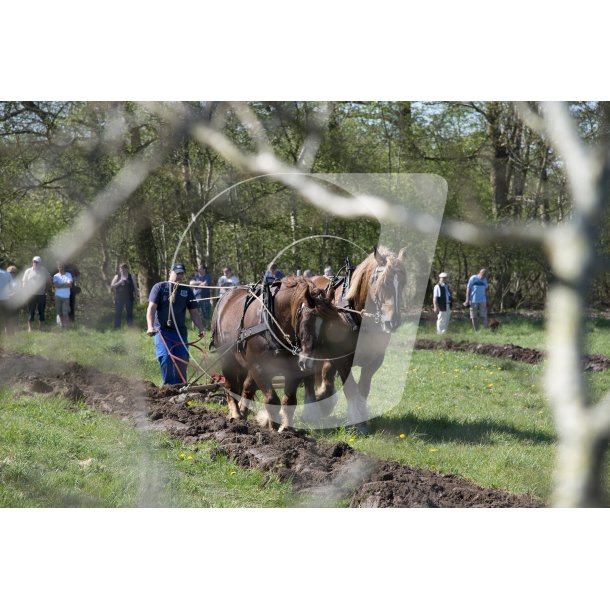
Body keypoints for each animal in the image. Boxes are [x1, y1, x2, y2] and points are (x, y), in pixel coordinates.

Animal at [208, 276, 332, 432]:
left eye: (326, 325)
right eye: (307, 322)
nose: (309, 362)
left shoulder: (293, 369)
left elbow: (289, 399)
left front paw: (286, 428)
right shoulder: (259, 368)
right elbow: (272, 399)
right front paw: (272, 426)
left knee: (246, 386)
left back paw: (242, 410)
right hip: (227, 358)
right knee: (231, 386)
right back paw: (235, 414)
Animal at [302, 245, 406, 430]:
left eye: (401, 284)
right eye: (383, 283)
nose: (392, 322)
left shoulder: (376, 358)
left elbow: (363, 388)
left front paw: (362, 414)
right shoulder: (341, 358)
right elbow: (350, 388)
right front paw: (358, 422)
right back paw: (311, 410)